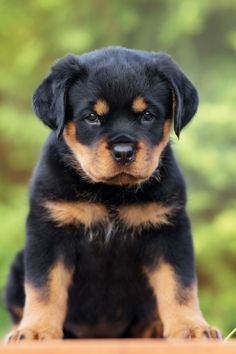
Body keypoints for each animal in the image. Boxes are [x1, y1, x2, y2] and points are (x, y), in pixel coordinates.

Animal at [6, 46, 223, 340]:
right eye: (92, 117)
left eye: (147, 115)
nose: (123, 151)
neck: (110, 193)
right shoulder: (49, 232)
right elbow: (43, 287)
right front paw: (37, 331)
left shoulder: (169, 231)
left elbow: (179, 284)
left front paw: (192, 327)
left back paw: (155, 328)